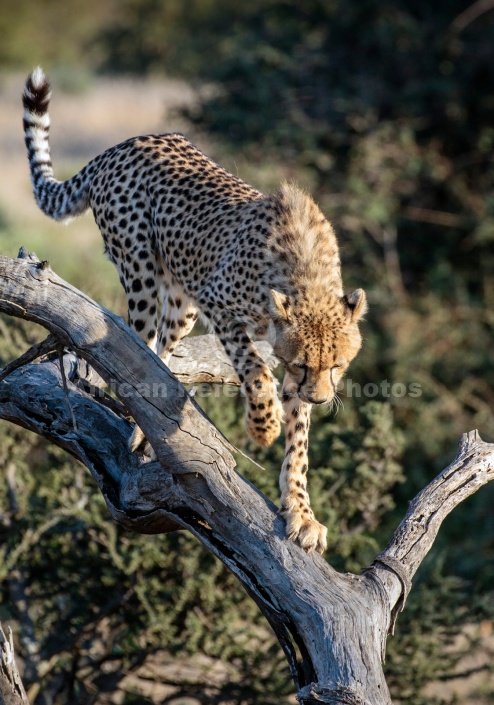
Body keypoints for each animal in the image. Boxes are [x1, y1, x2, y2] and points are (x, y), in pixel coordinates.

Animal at [23, 69, 366, 552]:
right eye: (301, 365)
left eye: (336, 365)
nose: (317, 396)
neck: (306, 276)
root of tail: (128, 142)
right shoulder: (219, 304)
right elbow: (255, 369)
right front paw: (263, 426)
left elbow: (299, 442)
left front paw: (300, 512)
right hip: (142, 273)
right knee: (136, 355)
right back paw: (141, 426)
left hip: (179, 303)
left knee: (161, 357)